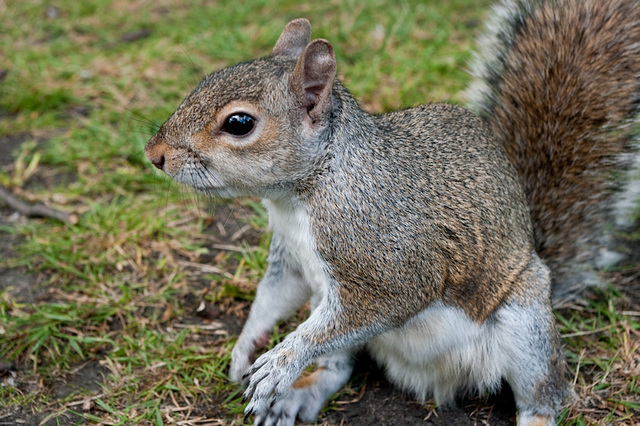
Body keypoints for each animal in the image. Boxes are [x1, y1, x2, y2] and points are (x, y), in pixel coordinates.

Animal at [145, 0, 640, 424]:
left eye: (239, 123)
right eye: (207, 79)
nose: (154, 154)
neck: (304, 192)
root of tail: (435, 379)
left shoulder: (389, 258)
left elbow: (392, 299)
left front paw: (280, 362)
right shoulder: (291, 259)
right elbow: (272, 297)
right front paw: (246, 349)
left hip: (526, 324)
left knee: (543, 395)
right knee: (339, 367)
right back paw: (298, 395)